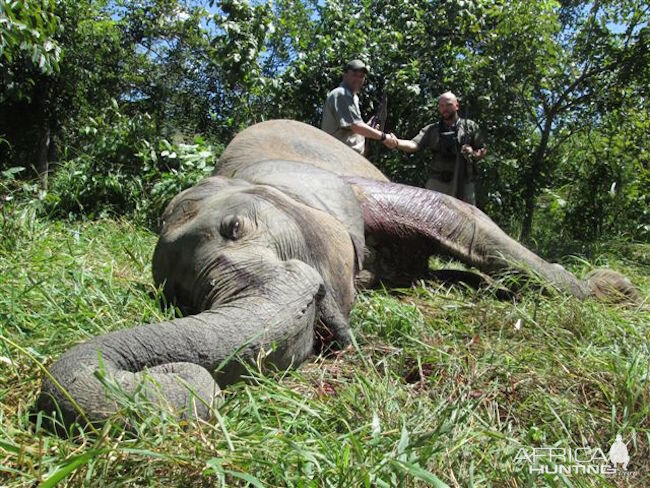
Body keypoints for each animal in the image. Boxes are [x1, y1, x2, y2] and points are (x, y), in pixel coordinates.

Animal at [36, 120, 636, 432]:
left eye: (236, 228)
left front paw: (612, 290)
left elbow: (455, 216)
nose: (175, 378)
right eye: (179, 298)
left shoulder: (341, 190)